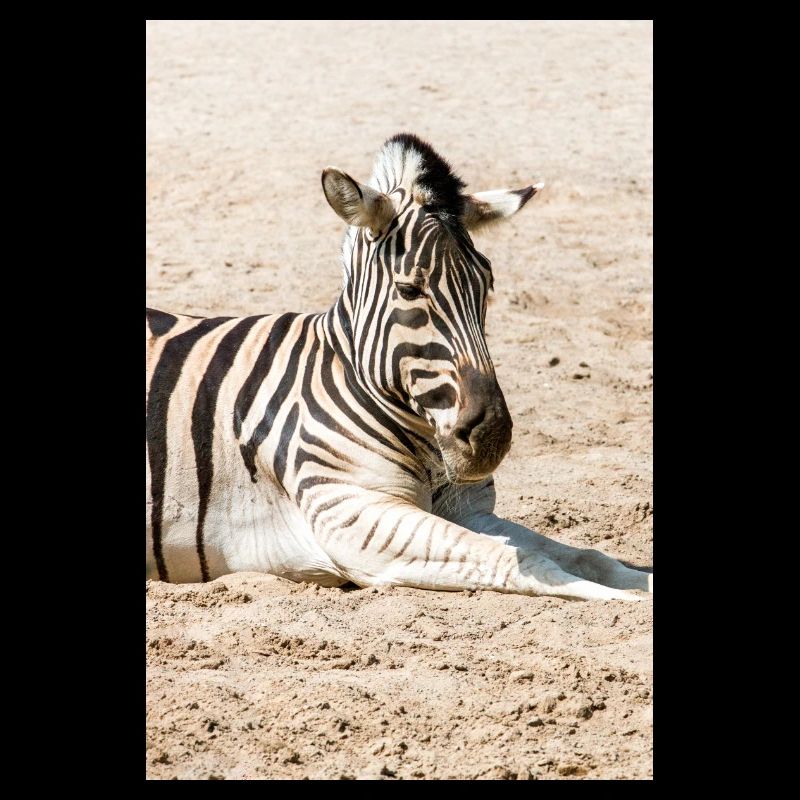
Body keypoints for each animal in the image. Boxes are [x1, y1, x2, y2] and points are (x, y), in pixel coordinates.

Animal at [146, 133, 653, 601]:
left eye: (487, 284)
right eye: (410, 290)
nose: (492, 437)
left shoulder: (470, 510)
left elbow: (586, 555)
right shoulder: (353, 515)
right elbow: (522, 560)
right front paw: (622, 601)